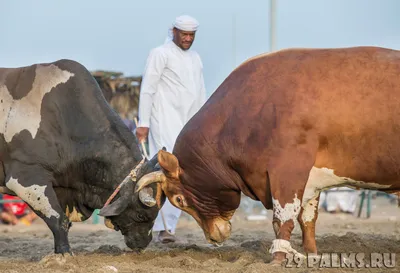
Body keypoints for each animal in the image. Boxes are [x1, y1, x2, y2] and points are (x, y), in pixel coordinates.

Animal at [134, 46, 400, 264]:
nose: (213, 237)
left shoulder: (288, 171)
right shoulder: (310, 180)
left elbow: (283, 219)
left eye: (178, 199)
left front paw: (278, 258)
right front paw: (311, 255)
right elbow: (308, 219)